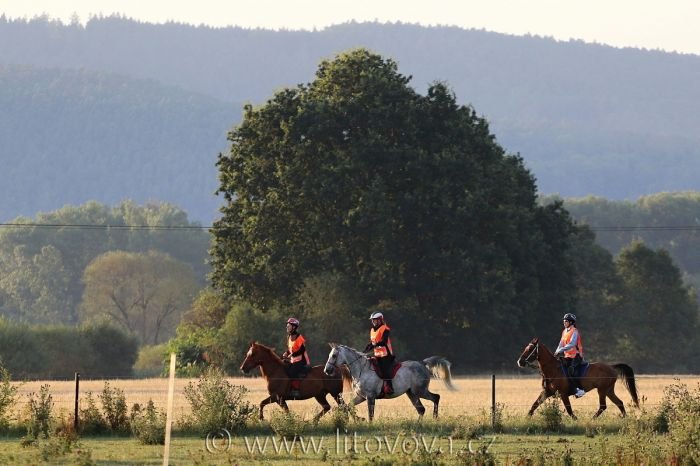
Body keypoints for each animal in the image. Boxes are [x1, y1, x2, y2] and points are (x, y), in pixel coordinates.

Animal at [322, 342, 454, 422]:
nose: (327, 370)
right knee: (421, 409)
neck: (361, 370)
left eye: (334, 355)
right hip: (411, 393)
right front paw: (359, 419)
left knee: (436, 397)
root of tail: (422, 363)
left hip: (420, 391)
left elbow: (370, 414)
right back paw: (419, 424)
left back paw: (435, 418)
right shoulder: (361, 397)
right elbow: (348, 407)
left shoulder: (370, 397)